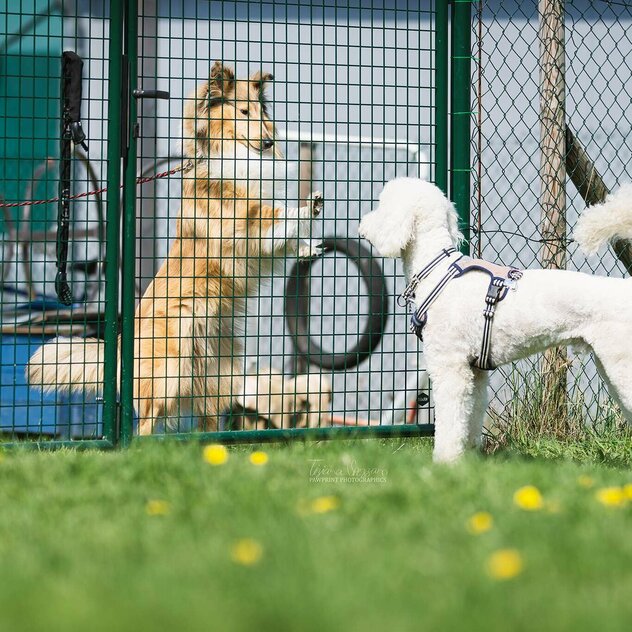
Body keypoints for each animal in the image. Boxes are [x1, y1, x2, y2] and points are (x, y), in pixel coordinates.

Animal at [358, 179, 632, 464]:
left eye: (381, 205)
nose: (362, 224)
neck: (437, 269)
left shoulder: (450, 366)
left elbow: (450, 421)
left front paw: (445, 461)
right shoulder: (476, 373)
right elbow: (471, 415)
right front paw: (468, 456)